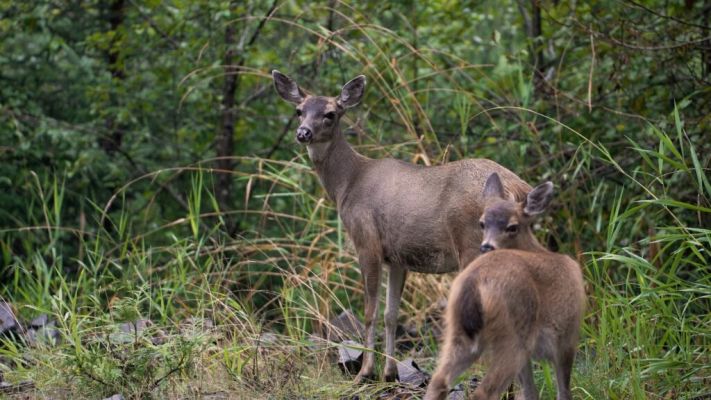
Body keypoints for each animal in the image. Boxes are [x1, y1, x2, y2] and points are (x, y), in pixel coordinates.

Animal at [272, 71, 532, 382]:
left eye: (331, 113)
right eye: (299, 111)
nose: (303, 133)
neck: (348, 183)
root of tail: (517, 188)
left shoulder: (366, 241)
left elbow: (370, 311)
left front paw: (365, 372)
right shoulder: (397, 256)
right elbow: (391, 315)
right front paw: (389, 372)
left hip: (472, 244)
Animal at [424, 172, 586, 400]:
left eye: (512, 226)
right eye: (482, 223)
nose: (486, 246)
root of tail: (474, 283)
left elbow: (530, 392)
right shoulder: (567, 336)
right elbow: (563, 390)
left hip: (458, 330)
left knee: (438, 381)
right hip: (512, 333)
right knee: (483, 392)